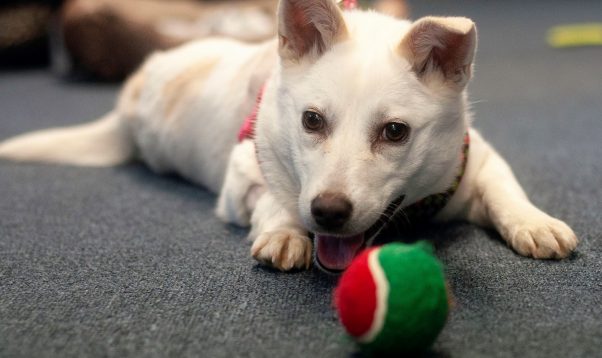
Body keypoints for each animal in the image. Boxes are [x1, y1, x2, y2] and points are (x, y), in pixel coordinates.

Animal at [0, 0, 576, 272]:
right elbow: (274, 198)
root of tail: (133, 92)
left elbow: (505, 190)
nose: (328, 212)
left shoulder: (474, 162)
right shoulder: (241, 178)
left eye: (395, 132)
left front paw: (535, 223)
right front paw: (284, 232)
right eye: (311, 121)